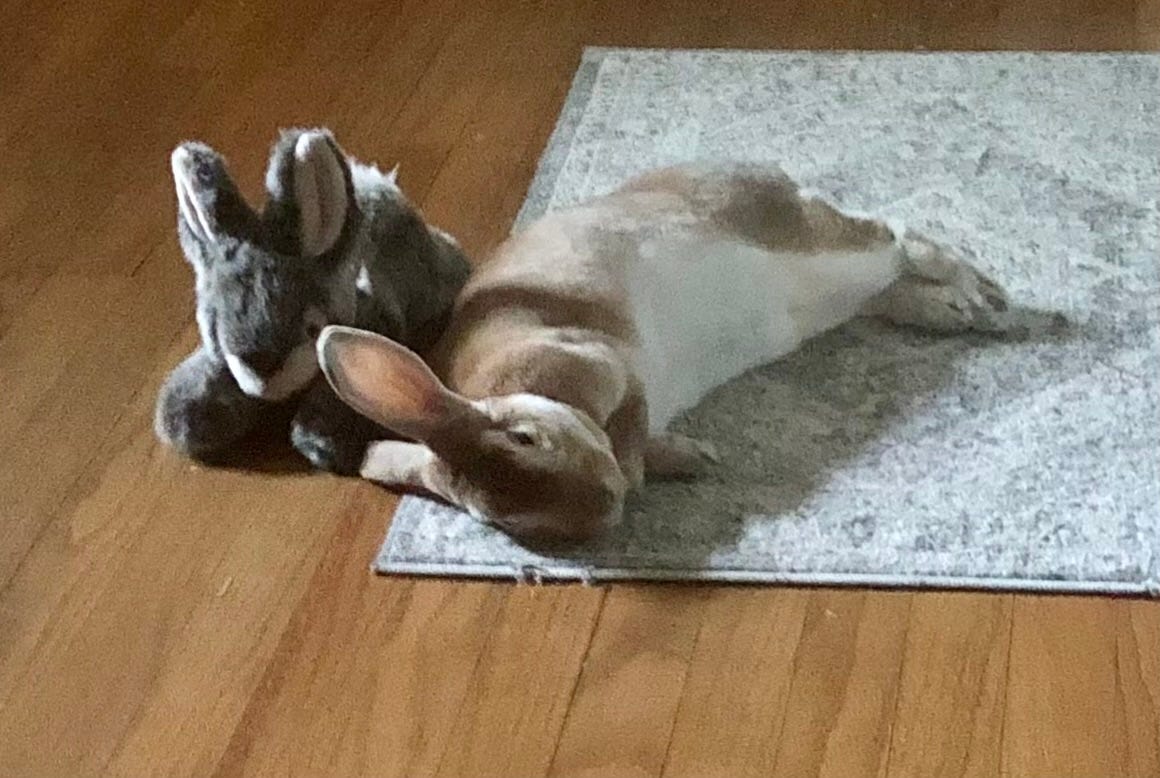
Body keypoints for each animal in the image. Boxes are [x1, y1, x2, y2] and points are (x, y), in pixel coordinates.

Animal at [320, 161, 1044, 544]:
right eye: (505, 522)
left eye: (527, 439)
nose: (605, 503)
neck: (523, 390)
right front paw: (690, 459)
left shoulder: (602, 362)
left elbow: (632, 425)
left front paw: (665, 462)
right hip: (832, 293)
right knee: (888, 281)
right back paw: (953, 311)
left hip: (821, 246)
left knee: (899, 235)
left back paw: (980, 296)